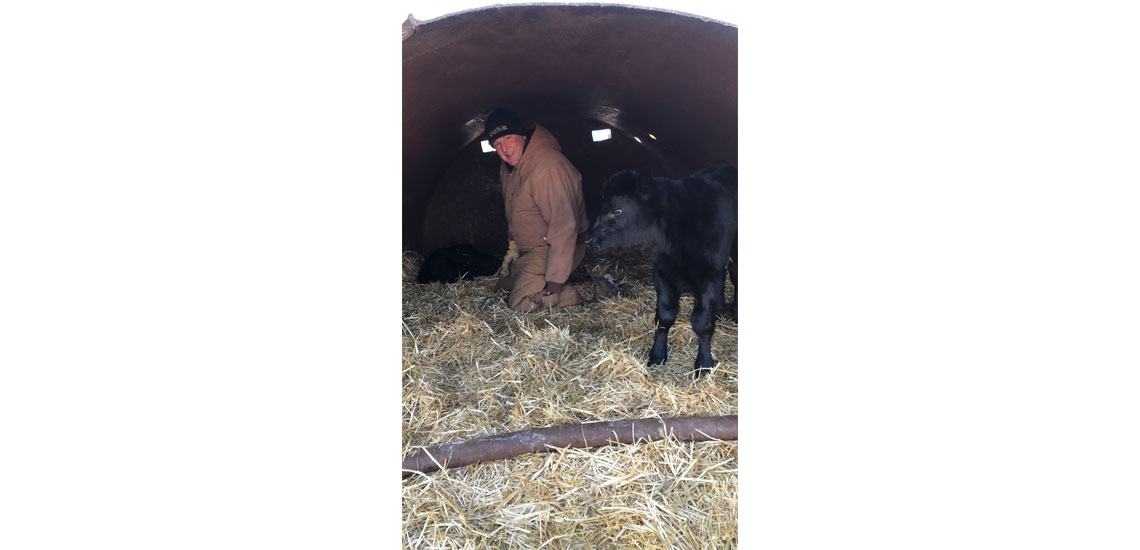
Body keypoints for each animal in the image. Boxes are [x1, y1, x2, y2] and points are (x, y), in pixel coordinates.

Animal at [588, 162, 738, 378]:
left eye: (617, 211)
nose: (590, 241)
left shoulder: (707, 275)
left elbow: (701, 323)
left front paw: (703, 363)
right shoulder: (662, 273)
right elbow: (664, 317)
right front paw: (657, 355)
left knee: (734, 274)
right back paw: (718, 311)